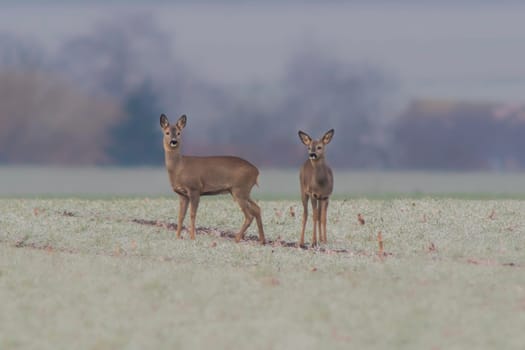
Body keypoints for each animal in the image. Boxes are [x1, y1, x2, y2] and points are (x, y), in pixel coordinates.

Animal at [159, 113, 266, 245]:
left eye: (179, 133)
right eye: (167, 132)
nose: (173, 141)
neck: (179, 167)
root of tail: (256, 171)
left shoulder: (194, 189)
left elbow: (192, 214)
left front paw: (192, 237)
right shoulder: (182, 194)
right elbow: (180, 216)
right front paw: (178, 237)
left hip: (239, 190)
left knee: (249, 215)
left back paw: (236, 238)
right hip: (242, 191)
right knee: (257, 209)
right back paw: (262, 240)